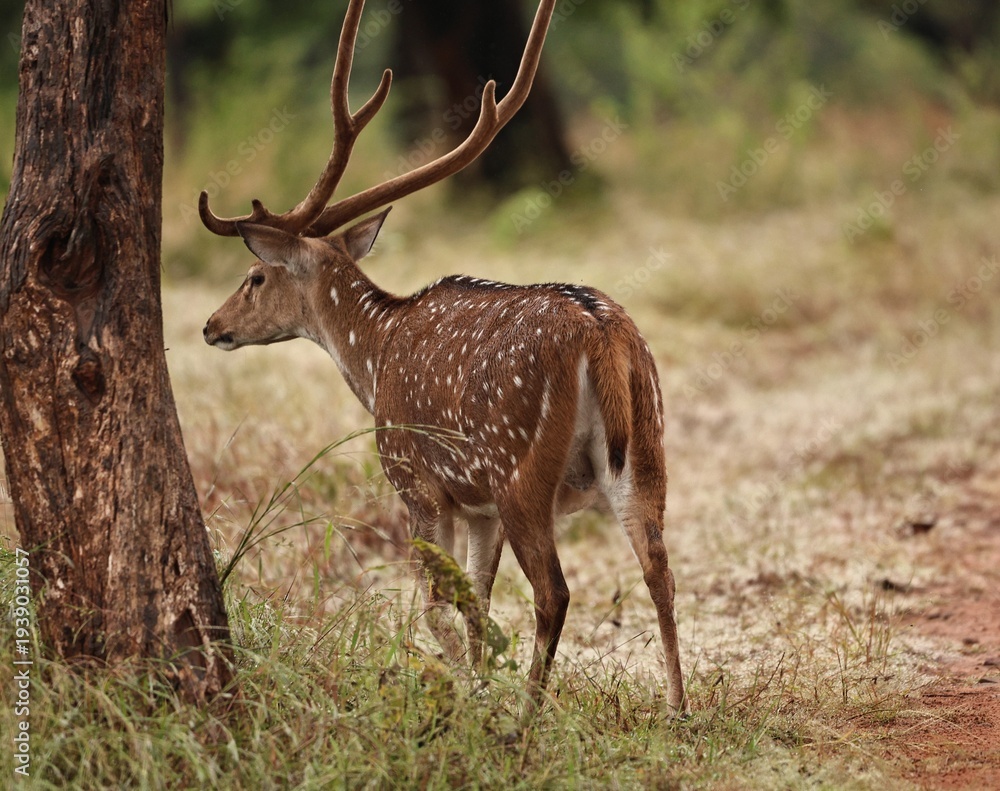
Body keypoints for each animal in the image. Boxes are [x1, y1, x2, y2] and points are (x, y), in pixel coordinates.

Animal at [200, 0, 685, 715]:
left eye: (255, 278)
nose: (212, 326)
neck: (375, 358)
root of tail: (600, 334)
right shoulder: (475, 504)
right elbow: (476, 601)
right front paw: (478, 682)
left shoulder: (417, 480)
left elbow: (437, 607)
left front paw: (468, 693)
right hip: (645, 448)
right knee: (660, 571)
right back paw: (680, 708)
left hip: (519, 469)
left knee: (554, 590)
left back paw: (526, 717)